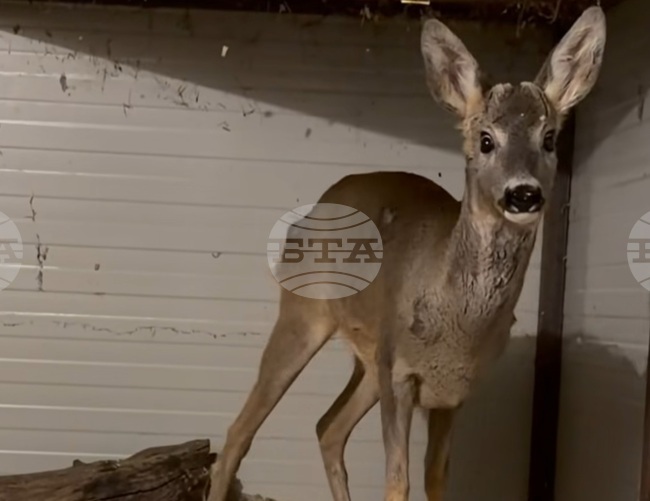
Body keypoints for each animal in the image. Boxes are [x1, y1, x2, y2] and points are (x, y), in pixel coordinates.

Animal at [206, 6, 606, 501]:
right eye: (486, 139)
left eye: (549, 138)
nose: (524, 194)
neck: (456, 323)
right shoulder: (399, 373)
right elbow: (398, 481)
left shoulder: (451, 390)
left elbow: (436, 477)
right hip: (305, 314)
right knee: (240, 432)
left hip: (368, 360)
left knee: (327, 427)